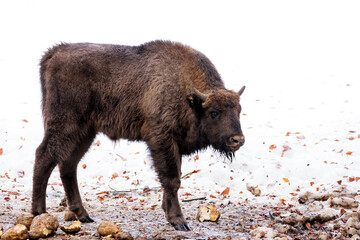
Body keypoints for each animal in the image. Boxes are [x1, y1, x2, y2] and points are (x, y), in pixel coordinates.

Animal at [31, 40, 245, 230]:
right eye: (214, 112)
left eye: (239, 110)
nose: (238, 140)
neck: (187, 94)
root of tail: (53, 53)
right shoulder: (162, 140)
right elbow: (172, 179)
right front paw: (179, 222)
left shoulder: (174, 146)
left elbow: (173, 178)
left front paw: (168, 213)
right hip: (65, 126)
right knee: (44, 157)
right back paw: (39, 212)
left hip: (85, 133)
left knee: (68, 165)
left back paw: (83, 216)